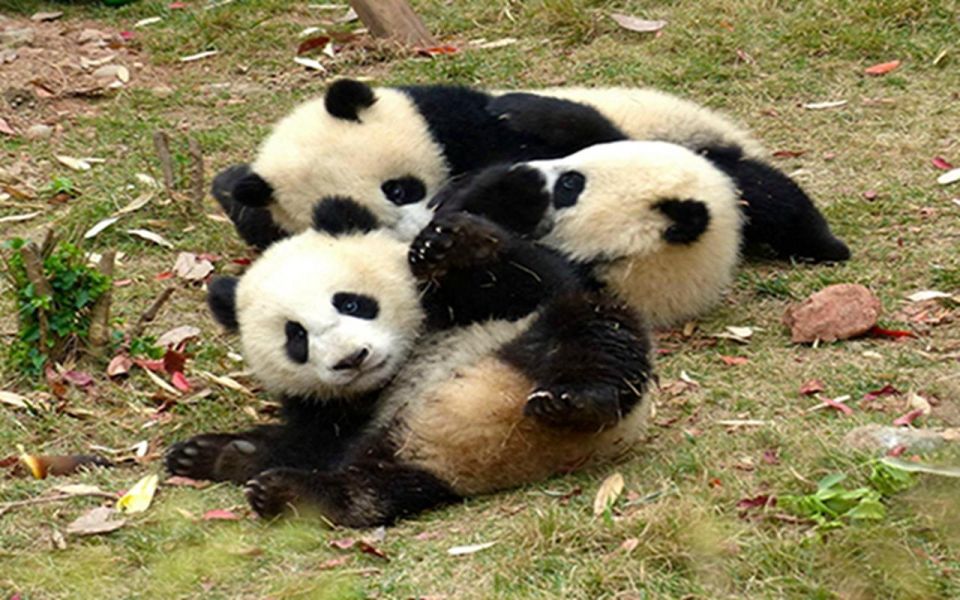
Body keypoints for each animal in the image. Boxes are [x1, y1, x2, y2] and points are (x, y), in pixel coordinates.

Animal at [169, 198, 656, 524]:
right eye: (296, 337)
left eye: (351, 303)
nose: (353, 359)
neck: (403, 359)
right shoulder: (338, 410)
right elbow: (309, 442)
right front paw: (205, 453)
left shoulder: (504, 303)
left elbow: (536, 277)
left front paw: (449, 246)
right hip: (395, 444)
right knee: (368, 489)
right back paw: (286, 493)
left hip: (536, 347)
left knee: (597, 335)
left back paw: (578, 401)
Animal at [216, 77, 848, 262]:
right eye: (365, 219)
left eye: (398, 187)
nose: (423, 225)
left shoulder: (456, 121)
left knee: (763, 194)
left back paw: (819, 242)